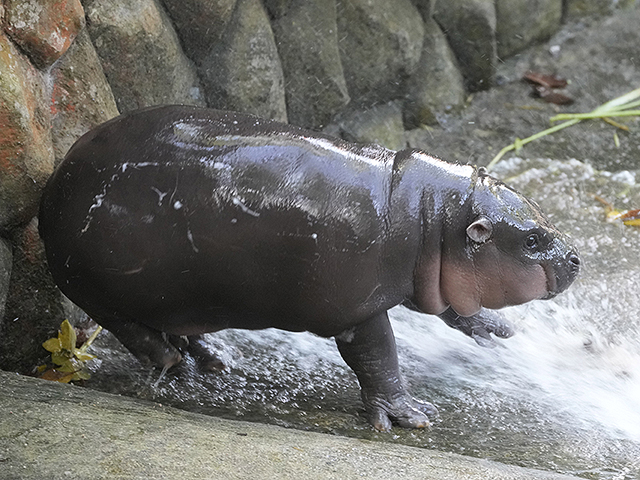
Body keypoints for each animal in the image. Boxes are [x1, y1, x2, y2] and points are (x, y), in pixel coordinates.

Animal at [38, 105, 580, 432]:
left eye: (541, 218)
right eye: (531, 240)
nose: (576, 257)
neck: (431, 214)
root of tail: (54, 183)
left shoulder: (422, 277)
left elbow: (444, 306)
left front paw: (492, 328)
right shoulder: (356, 310)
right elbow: (379, 358)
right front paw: (409, 415)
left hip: (178, 297)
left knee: (174, 326)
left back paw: (211, 359)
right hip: (96, 289)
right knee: (133, 331)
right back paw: (176, 366)